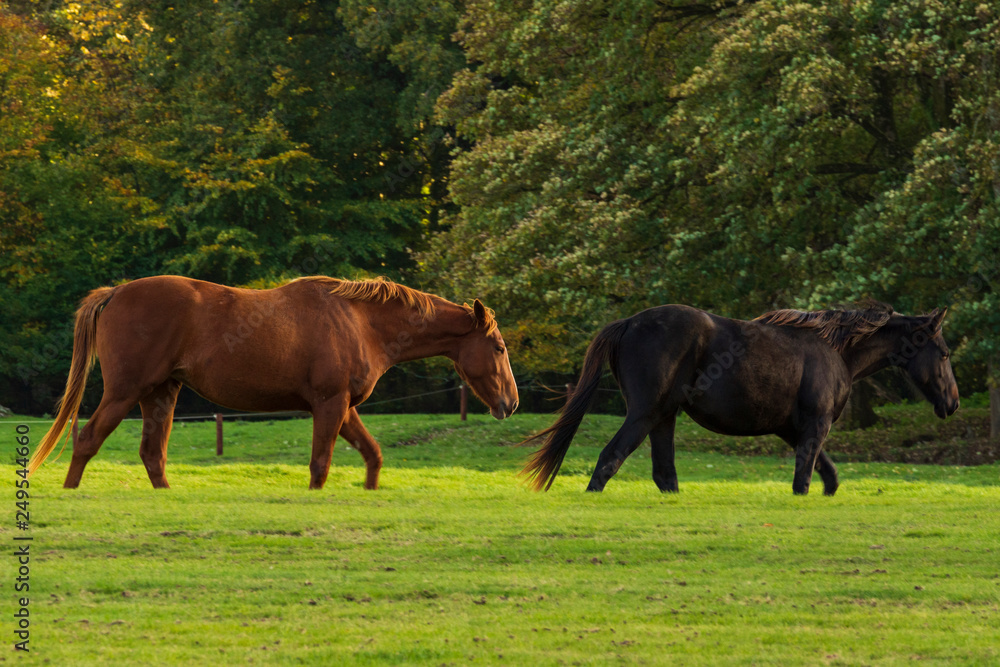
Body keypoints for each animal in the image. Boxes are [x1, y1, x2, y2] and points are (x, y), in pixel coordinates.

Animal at [28, 275, 519, 490]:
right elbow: (320, 465)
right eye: (498, 347)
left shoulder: (344, 407)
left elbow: (373, 456)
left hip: (160, 394)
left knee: (153, 456)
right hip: (125, 393)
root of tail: (115, 292)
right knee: (87, 440)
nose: (511, 403)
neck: (359, 320)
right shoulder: (329, 404)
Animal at [521, 304, 959, 495]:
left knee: (664, 475)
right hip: (644, 414)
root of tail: (629, 322)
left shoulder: (792, 430)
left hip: (664, 417)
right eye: (944, 353)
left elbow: (828, 475)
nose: (952, 403)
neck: (836, 349)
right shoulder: (815, 425)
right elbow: (804, 479)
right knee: (610, 460)